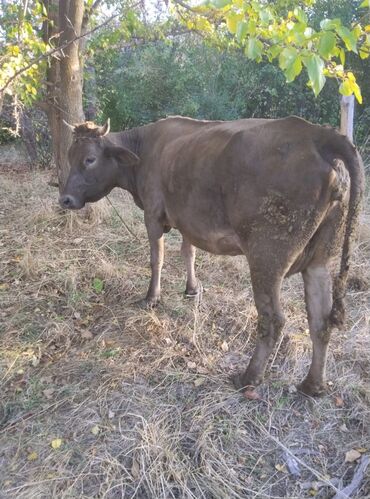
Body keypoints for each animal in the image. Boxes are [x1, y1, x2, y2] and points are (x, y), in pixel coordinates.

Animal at [60, 115, 364, 396]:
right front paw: (192, 289)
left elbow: (157, 258)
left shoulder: (153, 213)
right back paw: (312, 385)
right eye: (69, 157)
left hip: (267, 255)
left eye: (89, 159)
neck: (144, 150)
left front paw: (151, 298)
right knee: (320, 321)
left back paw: (248, 378)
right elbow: (189, 253)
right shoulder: (187, 219)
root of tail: (317, 134)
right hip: (320, 259)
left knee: (273, 320)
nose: (64, 199)